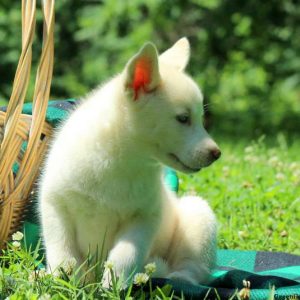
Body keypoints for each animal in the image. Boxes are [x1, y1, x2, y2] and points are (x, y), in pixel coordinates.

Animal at [39, 37, 220, 286]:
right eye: (183, 118)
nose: (216, 153)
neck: (120, 160)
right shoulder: (55, 204)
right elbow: (63, 251)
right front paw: (66, 281)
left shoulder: (144, 217)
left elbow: (126, 253)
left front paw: (113, 283)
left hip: (198, 216)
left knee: (193, 267)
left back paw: (177, 277)